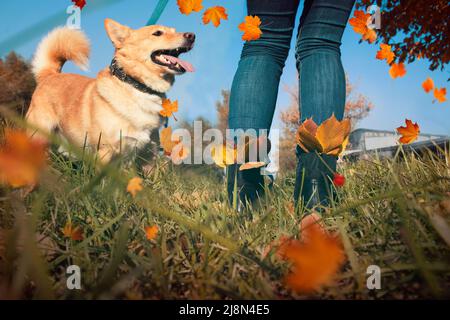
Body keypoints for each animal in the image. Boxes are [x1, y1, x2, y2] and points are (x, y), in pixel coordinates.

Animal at [26, 18, 195, 162]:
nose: (192, 35)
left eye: (175, 30)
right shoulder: (105, 152)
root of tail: (50, 74)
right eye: (158, 33)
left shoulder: (146, 156)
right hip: (38, 135)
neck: (139, 87)